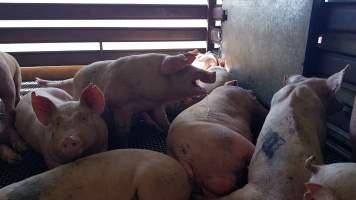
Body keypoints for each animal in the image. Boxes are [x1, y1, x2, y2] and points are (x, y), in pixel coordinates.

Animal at [35, 51, 214, 147]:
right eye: (188, 68)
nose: (212, 74)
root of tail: (74, 78)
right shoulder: (120, 106)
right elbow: (123, 129)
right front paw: (122, 144)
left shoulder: (155, 105)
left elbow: (163, 120)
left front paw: (166, 128)